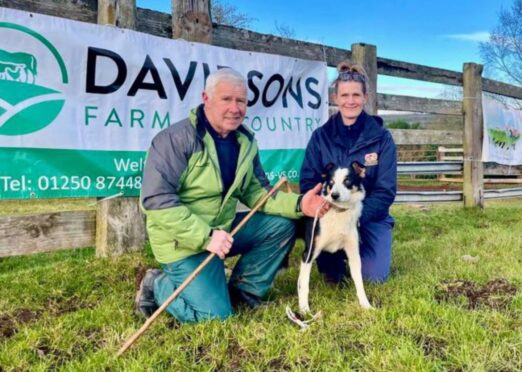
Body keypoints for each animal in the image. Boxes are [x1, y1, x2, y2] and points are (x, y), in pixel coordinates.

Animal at [296, 161, 370, 312]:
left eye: (347, 181)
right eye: (331, 182)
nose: (334, 195)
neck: (338, 211)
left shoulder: (354, 254)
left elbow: (359, 281)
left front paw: (365, 304)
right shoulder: (308, 253)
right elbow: (304, 284)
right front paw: (304, 309)